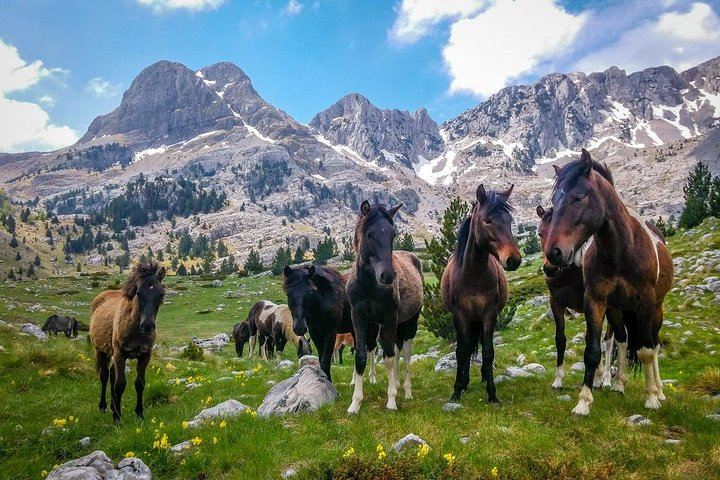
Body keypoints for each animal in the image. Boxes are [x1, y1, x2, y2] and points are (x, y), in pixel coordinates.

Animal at [89, 260, 166, 422]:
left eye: (161, 294)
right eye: (138, 293)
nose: (147, 326)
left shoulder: (145, 355)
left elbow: (140, 383)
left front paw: (139, 414)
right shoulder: (120, 353)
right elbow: (120, 384)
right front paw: (117, 419)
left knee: (112, 374)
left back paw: (113, 406)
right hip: (100, 351)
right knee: (104, 376)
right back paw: (103, 407)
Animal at [346, 201, 424, 413]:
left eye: (393, 234)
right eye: (369, 234)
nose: (388, 276)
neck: (368, 286)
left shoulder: (390, 318)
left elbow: (388, 358)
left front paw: (391, 401)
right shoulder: (359, 318)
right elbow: (361, 357)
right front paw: (355, 404)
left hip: (409, 324)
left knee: (405, 354)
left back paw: (406, 391)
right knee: (396, 351)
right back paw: (396, 383)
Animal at [441, 185, 521, 404]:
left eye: (509, 220)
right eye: (487, 220)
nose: (514, 260)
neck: (473, 275)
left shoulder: (489, 314)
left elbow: (488, 352)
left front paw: (492, 394)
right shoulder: (460, 315)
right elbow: (462, 351)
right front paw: (456, 391)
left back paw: (484, 376)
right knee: (466, 347)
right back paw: (465, 381)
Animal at [543, 149, 673, 415]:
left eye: (578, 197)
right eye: (554, 201)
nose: (554, 254)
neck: (620, 251)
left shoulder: (645, 302)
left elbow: (645, 351)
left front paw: (651, 398)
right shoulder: (595, 301)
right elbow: (592, 350)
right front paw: (583, 401)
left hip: (656, 309)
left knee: (653, 345)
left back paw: (659, 391)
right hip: (617, 310)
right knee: (622, 341)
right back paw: (618, 384)